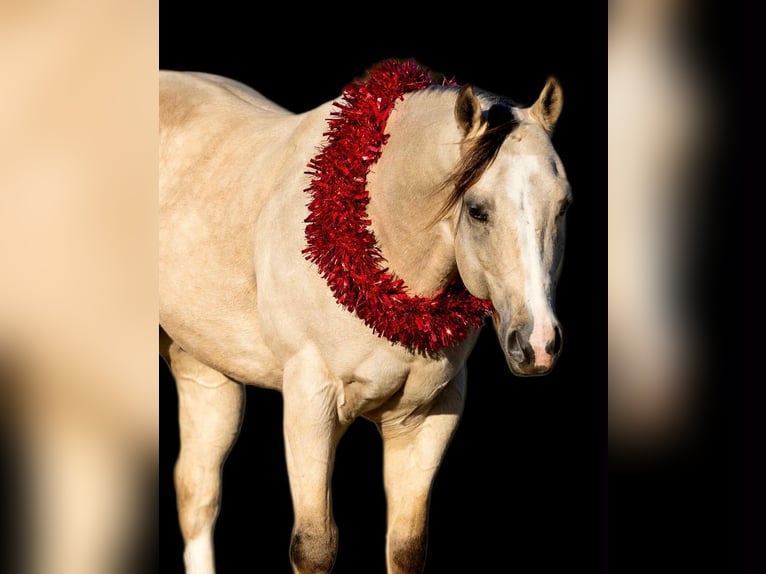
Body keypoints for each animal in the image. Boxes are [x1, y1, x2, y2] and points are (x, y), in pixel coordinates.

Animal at [159, 59, 571, 574]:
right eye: (477, 211)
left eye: (563, 205)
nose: (538, 344)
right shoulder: (310, 402)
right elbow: (314, 547)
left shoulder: (426, 419)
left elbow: (406, 547)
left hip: (205, 372)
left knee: (196, 491)